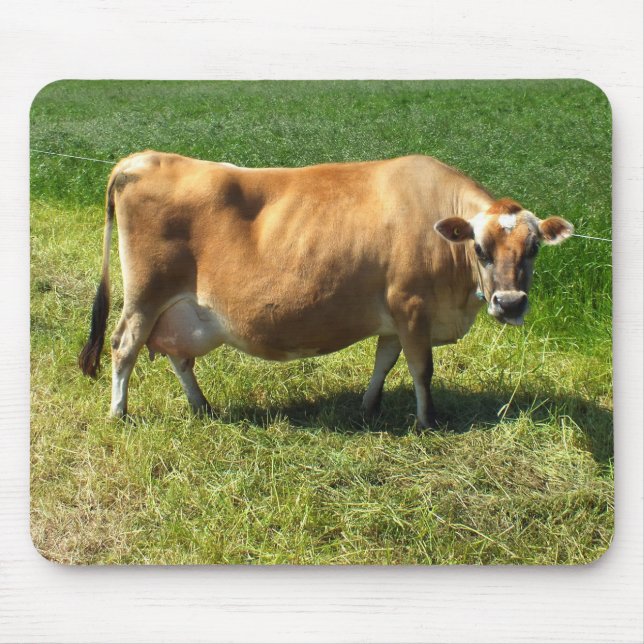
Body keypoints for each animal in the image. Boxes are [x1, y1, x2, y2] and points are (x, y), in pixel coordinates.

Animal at [78, 151, 573, 427]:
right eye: (481, 248)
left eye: (533, 248)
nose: (510, 304)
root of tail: (141, 157)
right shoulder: (412, 305)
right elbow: (422, 369)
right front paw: (427, 421)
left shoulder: (394, 317)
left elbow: (384, 361)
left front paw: (369, 407)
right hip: (145, 295)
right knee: (124, 346)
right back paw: (119, 413)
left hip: (183, 310)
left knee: (178, 357)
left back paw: (202, 407)